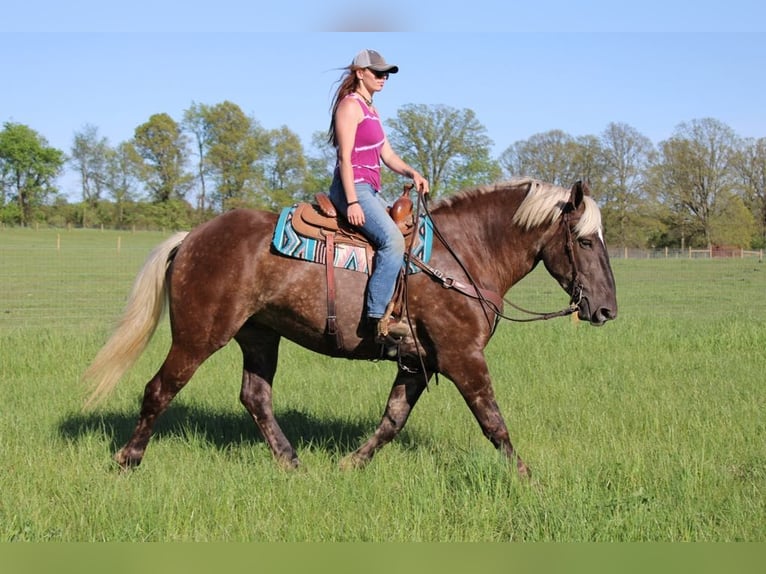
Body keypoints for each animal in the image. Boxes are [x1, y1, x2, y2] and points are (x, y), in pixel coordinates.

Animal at [83, 177, 617, 478]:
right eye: (585, 241)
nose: (607, 310)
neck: (463, 255)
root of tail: (192, 236)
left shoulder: (417, 362)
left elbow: (393, 419)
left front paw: (350, 464)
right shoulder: (462, 356)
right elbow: (494, 422)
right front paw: (528, 478)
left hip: (260, 336)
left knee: (255, 397)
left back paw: (293, 465)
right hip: (198, 336)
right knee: (159, 389)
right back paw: (128, 460)